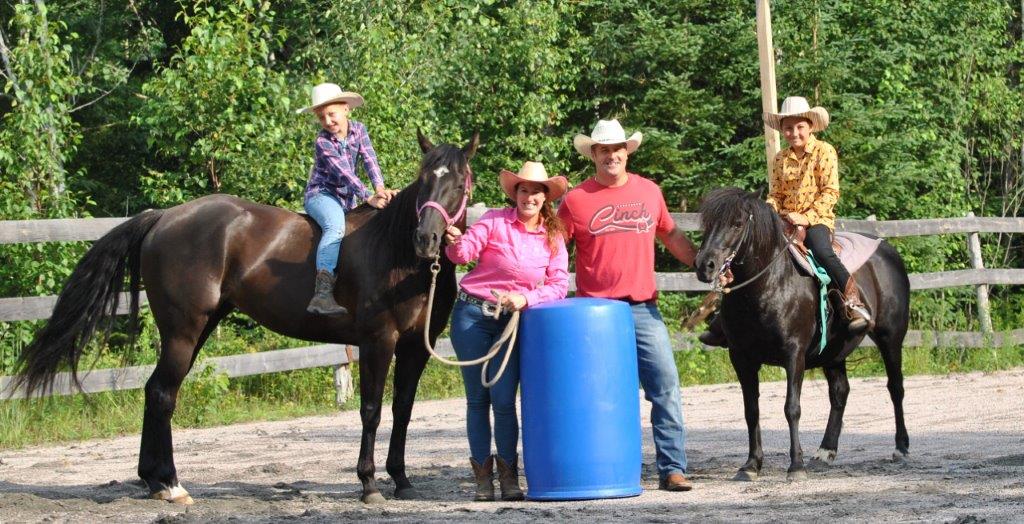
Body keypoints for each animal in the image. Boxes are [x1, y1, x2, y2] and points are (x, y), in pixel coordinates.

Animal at [16, 131, 479, 503]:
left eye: (459, 183)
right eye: (424, 179)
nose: (426, 239)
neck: (397, 255)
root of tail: (163, 217)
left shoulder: (416, 347)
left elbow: (403, 410)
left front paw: (401, 480)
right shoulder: (377, 341)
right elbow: (371, 410)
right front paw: (368, 485)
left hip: (199, 327)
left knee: (155, 391)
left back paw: (156, 481)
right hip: (184, 330)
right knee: (163, 393)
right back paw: (171, 485)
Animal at [692, 188, 909, 483]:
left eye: (737, 223)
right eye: (707, 223)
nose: (705, 266)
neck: (769, 285)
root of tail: (887, 250)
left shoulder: (794, 354)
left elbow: (791, 408)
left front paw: (796, 466)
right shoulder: (741, 358)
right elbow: (751, 410)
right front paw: (750, 465)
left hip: (890, 338)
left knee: (895, 387)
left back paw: (901, 448)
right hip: (834, 352)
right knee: (840, 392)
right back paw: (826, 451)